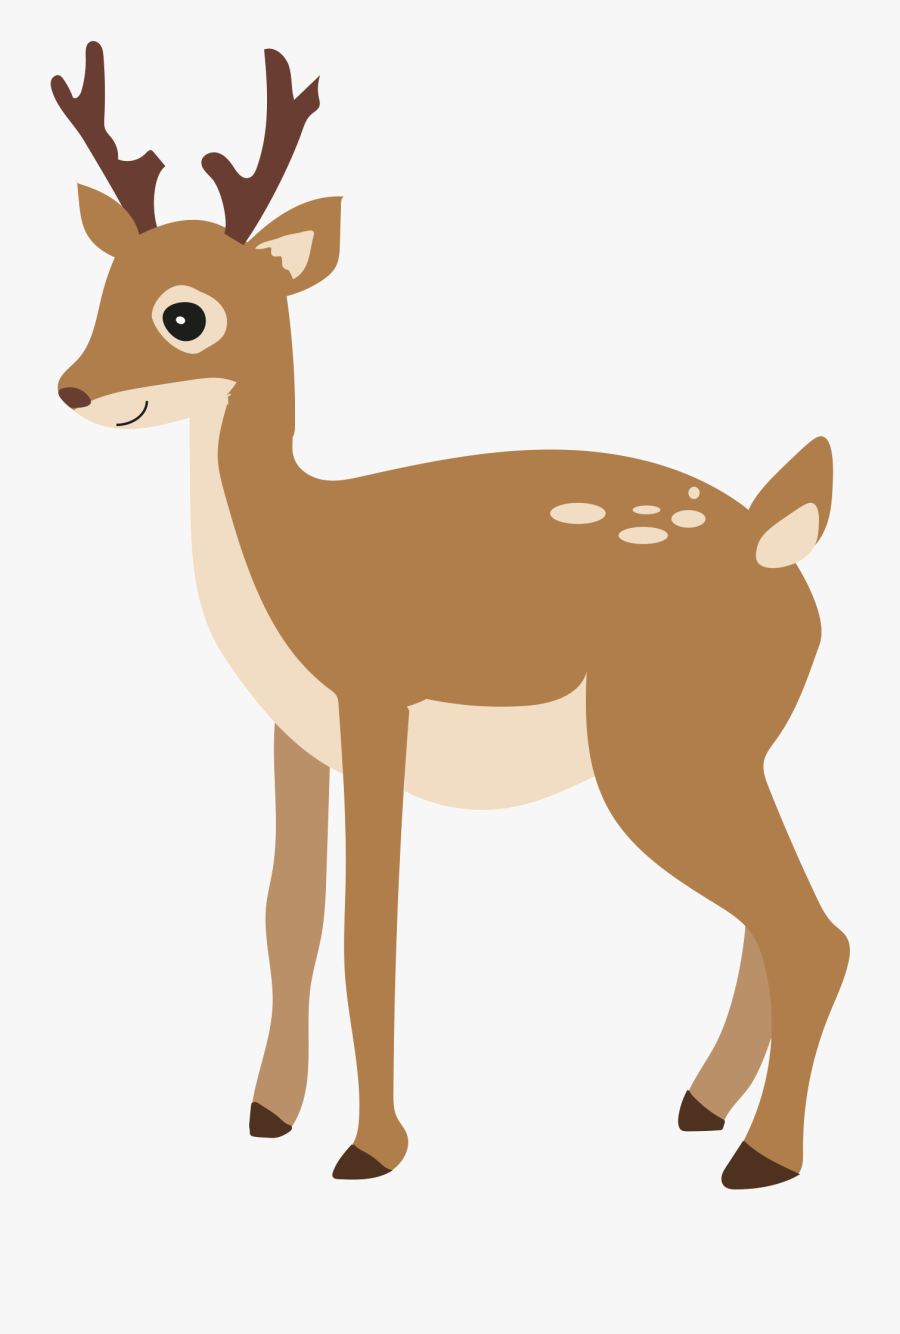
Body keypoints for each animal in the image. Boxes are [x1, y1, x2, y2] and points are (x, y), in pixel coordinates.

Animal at [52, 42, 848, 1190]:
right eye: (106, 285)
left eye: (186, 314)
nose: (72, 389)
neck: (295, 552)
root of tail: (782, 540)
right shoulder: (295, 731)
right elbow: (287, 914)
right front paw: (267, 1111)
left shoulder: (376, 700)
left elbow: (368, 927)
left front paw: (370, 1147)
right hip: (725, 746)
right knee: (770, 912)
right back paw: (702, 1106)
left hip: (659, 746)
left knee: (808, 928)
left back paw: (764, 1157)